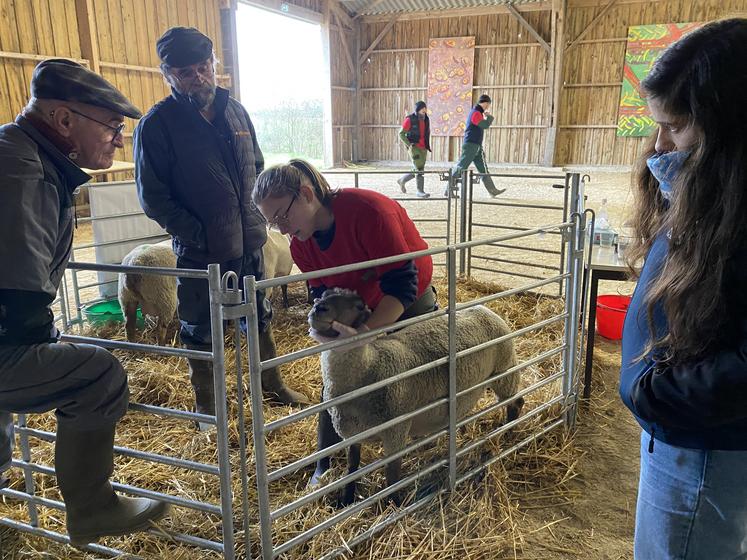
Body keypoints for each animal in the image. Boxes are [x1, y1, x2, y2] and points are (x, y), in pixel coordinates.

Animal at [306, 288, 524, 504]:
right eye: (321, 295)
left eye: (359, 305)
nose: (319, 308)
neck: (371, 366)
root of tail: (484, 308)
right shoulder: (352, 436)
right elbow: (352, 468)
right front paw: (347, 499)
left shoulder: (396, 432)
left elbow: (392, 476)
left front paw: (394, 504)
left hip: (504, 369)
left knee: (516, 402)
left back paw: (509, 432)